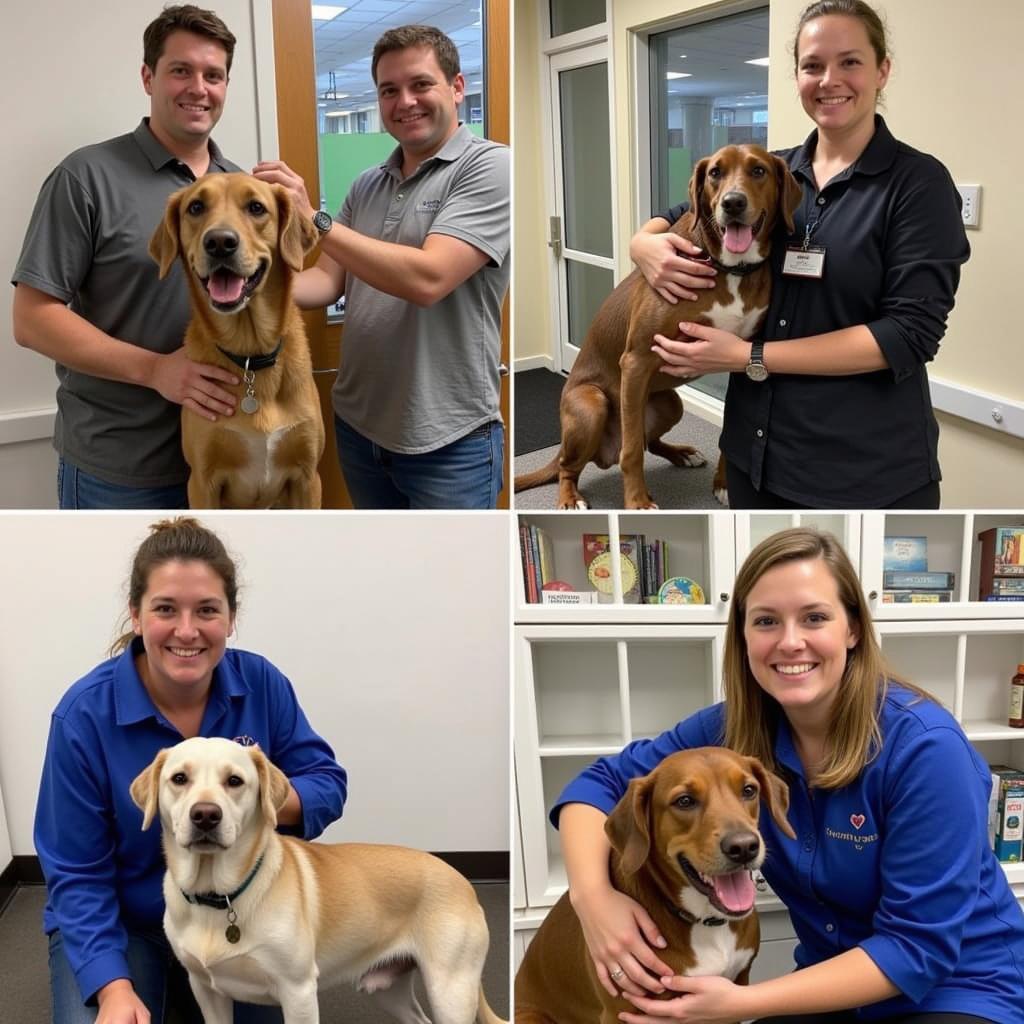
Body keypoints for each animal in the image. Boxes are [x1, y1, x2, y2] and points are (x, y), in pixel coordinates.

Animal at [130, 741, 505, 1024]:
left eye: (234, 781)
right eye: (179, 778)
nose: (205, 815)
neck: (220, 896)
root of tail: (461, 879)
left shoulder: (298, 993)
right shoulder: (206, 990)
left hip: (450, 990)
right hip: (391, 989)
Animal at [148, 176, 321, 512]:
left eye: (256, 207)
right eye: (196, 207)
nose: (219, 242)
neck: (250, 352)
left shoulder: (308, 478)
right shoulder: (202, 483)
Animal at [516, 142, 802, 509]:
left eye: (758, 171)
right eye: (715, 173)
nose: (733, 203)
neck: (729, 268)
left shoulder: (737, 362)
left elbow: (727, 432)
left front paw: (724, 484)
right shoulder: (636, 361)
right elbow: (631, 453)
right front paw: (637, 502)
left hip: (669, 403)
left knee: (647, 441)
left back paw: (682, 454)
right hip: (592, 406)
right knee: (572, 465)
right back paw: (570, 497)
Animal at [516, 745, 794, 1024]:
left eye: (749, 790)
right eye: (684, 801)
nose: (744, 847)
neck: (705, 920)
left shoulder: (737, 987)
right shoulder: (618, 1012)